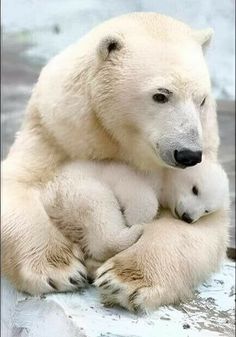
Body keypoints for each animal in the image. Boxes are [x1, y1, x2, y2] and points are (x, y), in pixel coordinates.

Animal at [1, 13, 230, 310]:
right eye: (161, 94)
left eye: (201, 100)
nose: (188, 154)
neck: (116, 139)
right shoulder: (54, 130)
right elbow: (18, 181)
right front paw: (59, 269)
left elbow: (203, 226)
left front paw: (125, 279)